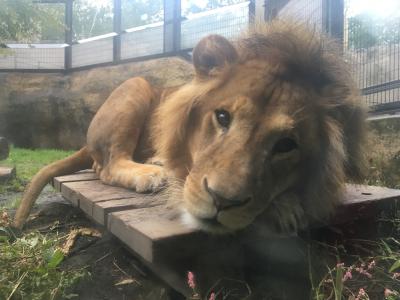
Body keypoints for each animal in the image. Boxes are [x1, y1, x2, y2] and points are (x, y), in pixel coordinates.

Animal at [12, 20, 364, 234]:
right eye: (222, 117)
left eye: (286, 145)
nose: (222, 201)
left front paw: (286, 206)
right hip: (136, 85)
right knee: (107, 166)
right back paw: (150, 172)